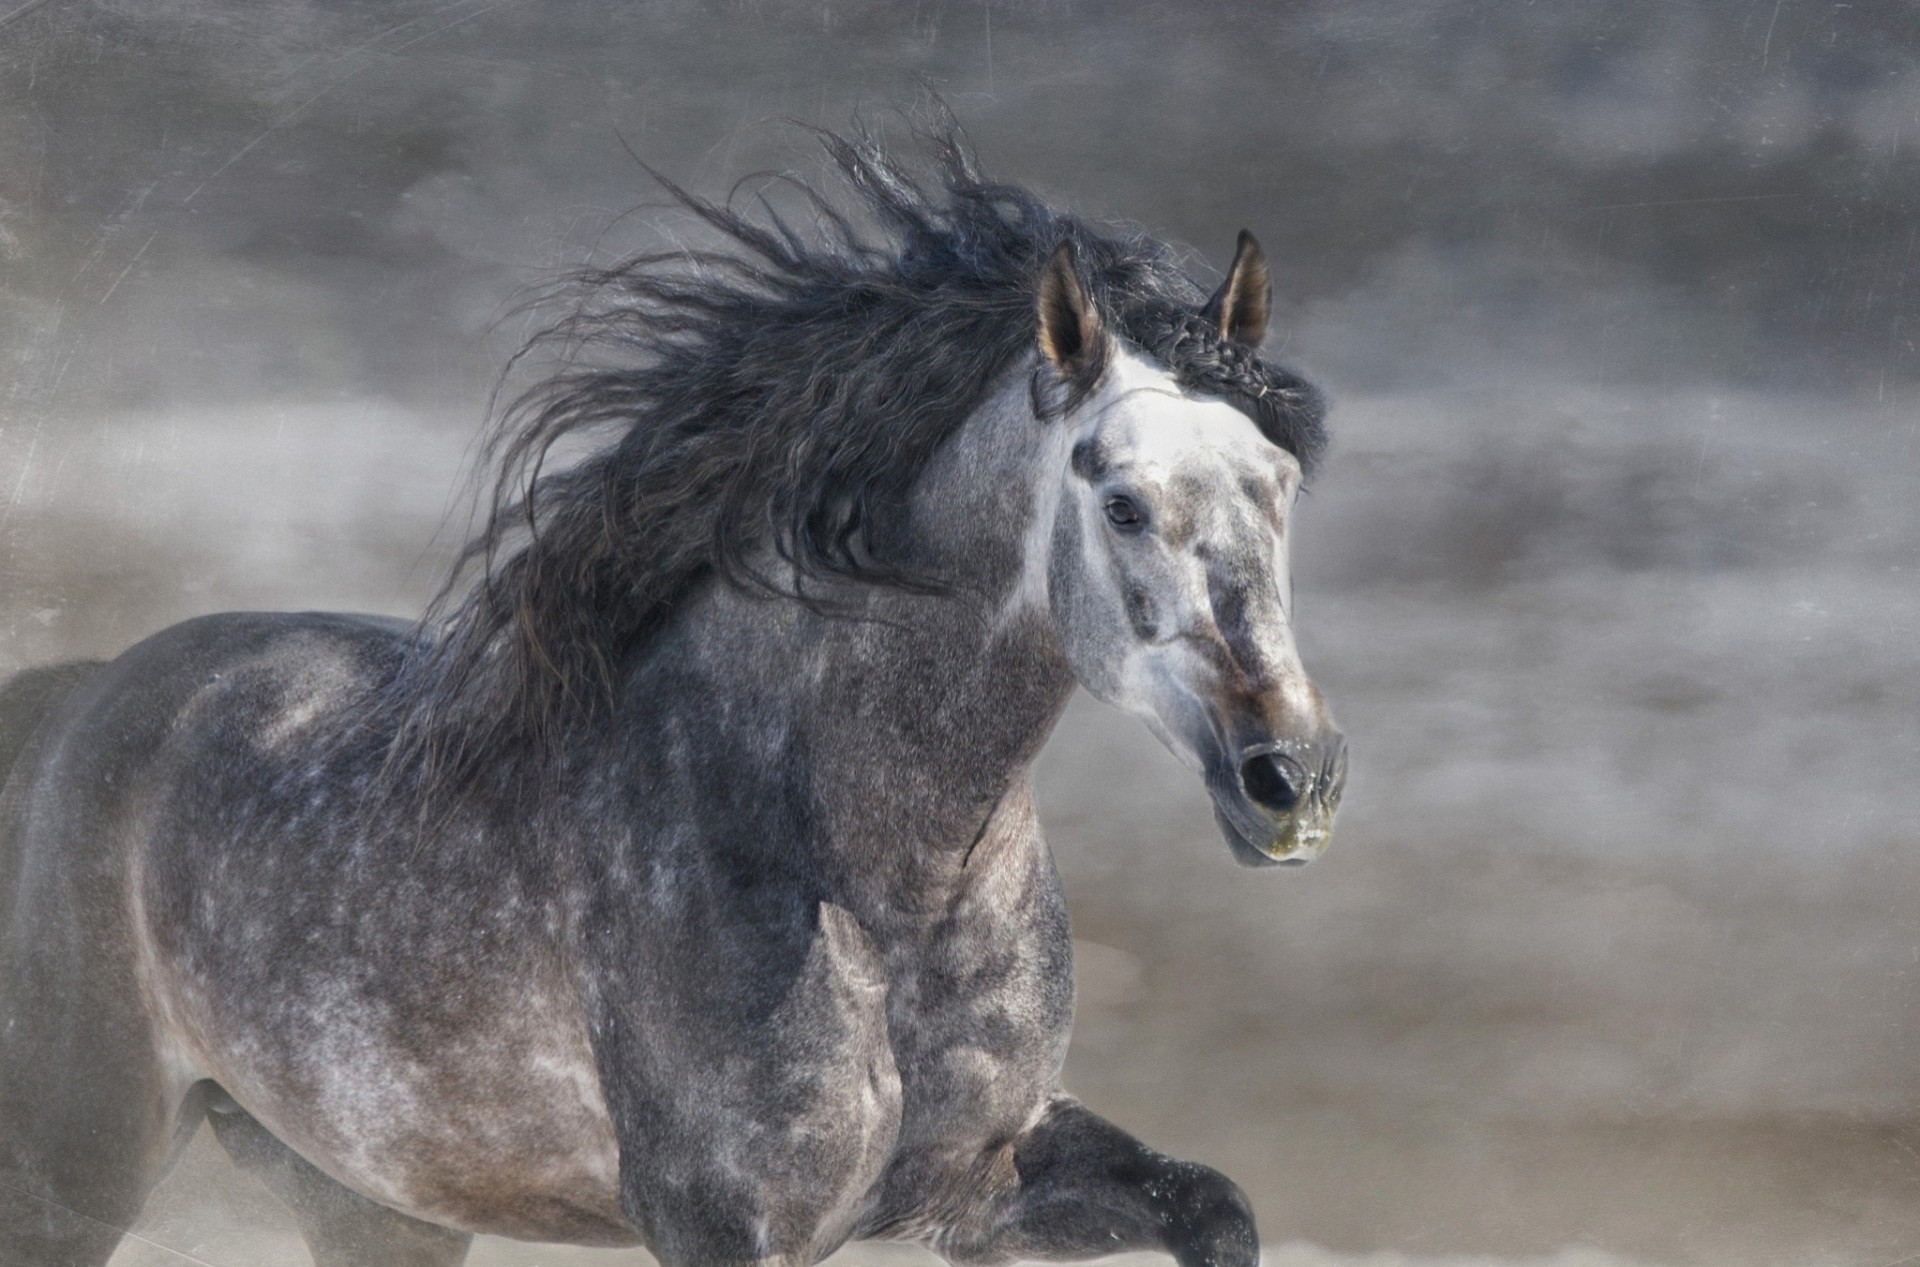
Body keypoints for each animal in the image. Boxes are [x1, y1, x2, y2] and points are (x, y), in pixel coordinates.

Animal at [0, 130, 1346, 1267]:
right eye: (1121, 501)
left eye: (1280, 480)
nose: (1292, 780)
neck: (879, 877)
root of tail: (84, 701)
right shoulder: (726, 1223)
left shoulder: (983, 1182)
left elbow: (1215, 1207)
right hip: (79, 1163)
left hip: (375, 1203)